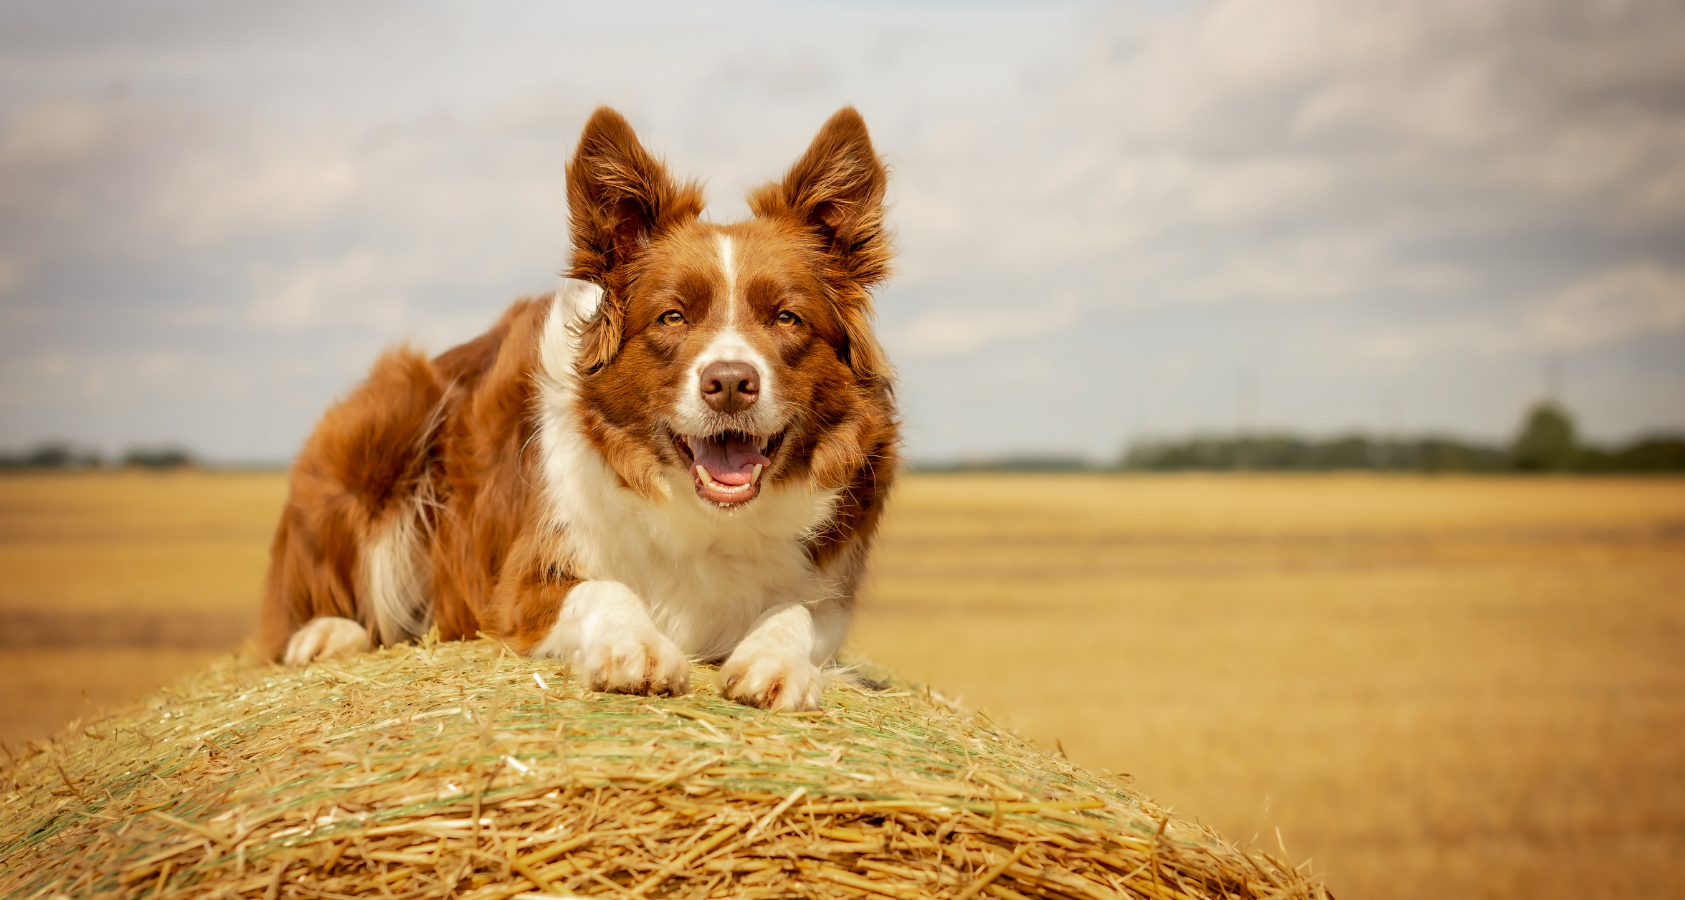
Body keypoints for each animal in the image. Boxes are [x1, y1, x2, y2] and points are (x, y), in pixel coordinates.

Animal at [257, 105, 903, 711]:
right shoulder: (520, 591)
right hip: (381, 430)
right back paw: (326, 634)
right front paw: (634, 646)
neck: (707, 519)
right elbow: (603, 589)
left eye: (787, 318)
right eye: (672, 317)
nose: (729, 383)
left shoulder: (829, 593)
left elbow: (799, 613)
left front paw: (775, 659)